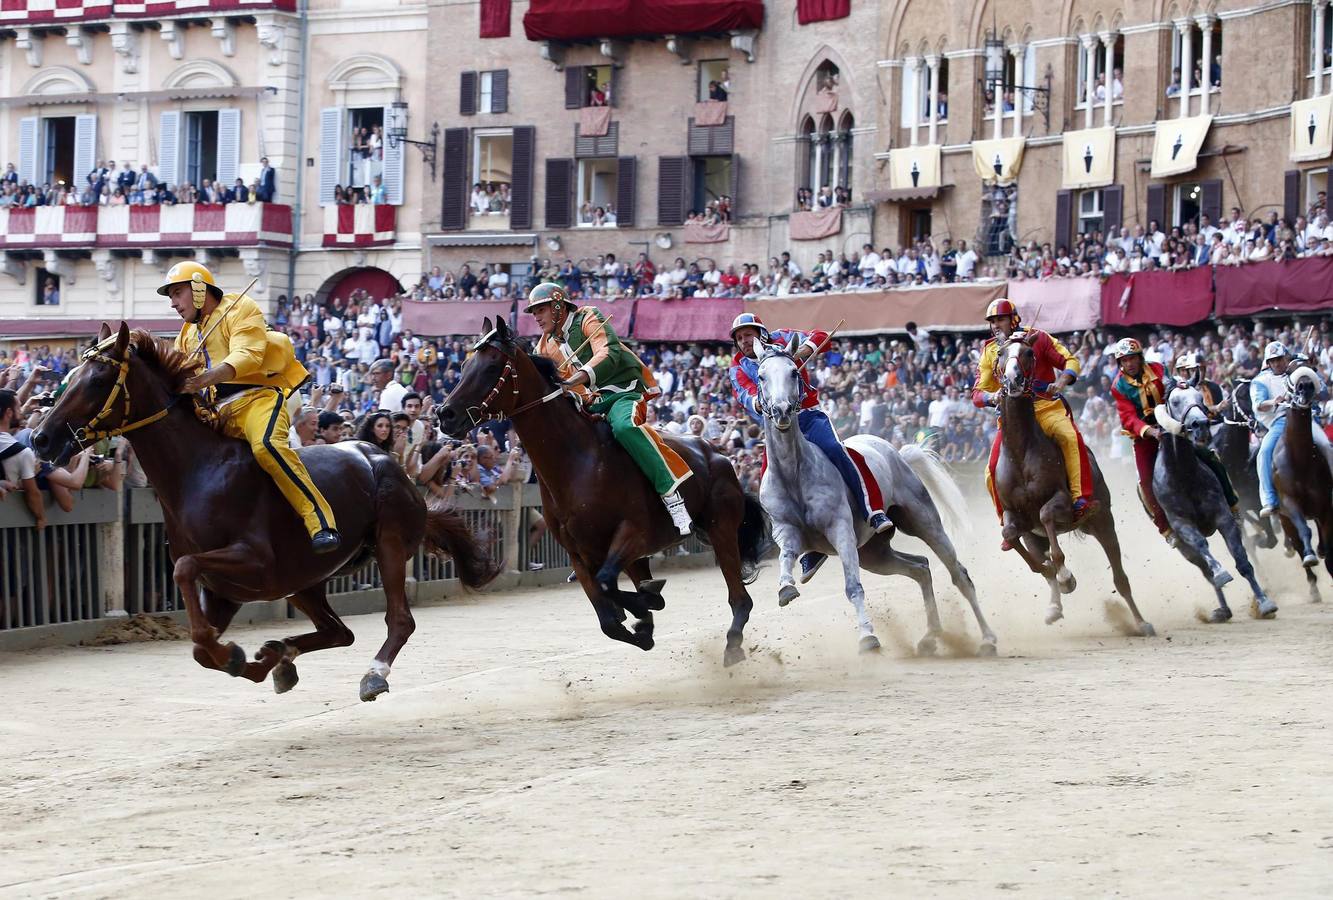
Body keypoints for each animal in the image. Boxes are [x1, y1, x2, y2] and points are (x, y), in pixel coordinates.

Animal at [35, 325, 501, 704]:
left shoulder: (254, 563)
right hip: (303, 582)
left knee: (399, 620)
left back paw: (372, 675)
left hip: (387, 544)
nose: (41, 437)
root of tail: (388, 461)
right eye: (70, 375)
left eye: (98, 379)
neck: (198, 473)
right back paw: (280, 656)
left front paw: (235, 654)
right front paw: (247, 659)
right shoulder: (226, 591)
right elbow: (199, 647)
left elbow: (186, 574)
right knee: (340, 632)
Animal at [437, 314, 773, 661]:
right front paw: (641, 620)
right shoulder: (579, 553)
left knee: (740, 599)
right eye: (464, 365)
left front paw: (645, 605)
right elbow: (609, 619)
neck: (578, 463)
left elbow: (611, 586)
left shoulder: (634, 534)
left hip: (721, 530)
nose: (445, 414)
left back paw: (732, 645)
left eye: (492, 365)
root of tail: (717, 454)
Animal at [757, 338, 997, 656]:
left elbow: (853, 587)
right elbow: (785, 558)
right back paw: (930, 636)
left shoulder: (841, 530)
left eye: (794, 372)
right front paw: (786, 587)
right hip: (875, 553)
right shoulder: (786, 531)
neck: (793, 474)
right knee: (921, 567)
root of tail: (897, 453)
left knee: (959, 574)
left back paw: (987, 639)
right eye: (761, 376)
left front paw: (868, 637)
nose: (782, 410)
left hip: (924, 522)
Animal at [991, 334, 1157, 637]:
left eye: (1029, 353)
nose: (1013, 379)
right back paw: (1054, 607)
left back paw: (1141, 622)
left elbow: (1047, 516)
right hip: (1038, 536)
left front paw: (1066, 576)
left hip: (1103, 521)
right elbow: (1011, 534)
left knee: (1120, 576)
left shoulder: (1063, 503)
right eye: (1000, 354)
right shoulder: (1015, 515)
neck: (1021, 452)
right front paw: (1049, 573)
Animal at [1151, 384, 1274, 624]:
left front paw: (1264, 602)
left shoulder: (1227, 514)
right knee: (1206, 571)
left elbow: (1244, 559)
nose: (1200, 425)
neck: (1184, 475)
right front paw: (1221, 573)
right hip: (1184, 549)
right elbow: (1203, 548)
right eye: (1175, 401)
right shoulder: (1182, 524)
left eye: (1199, 397)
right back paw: (1223, 608)